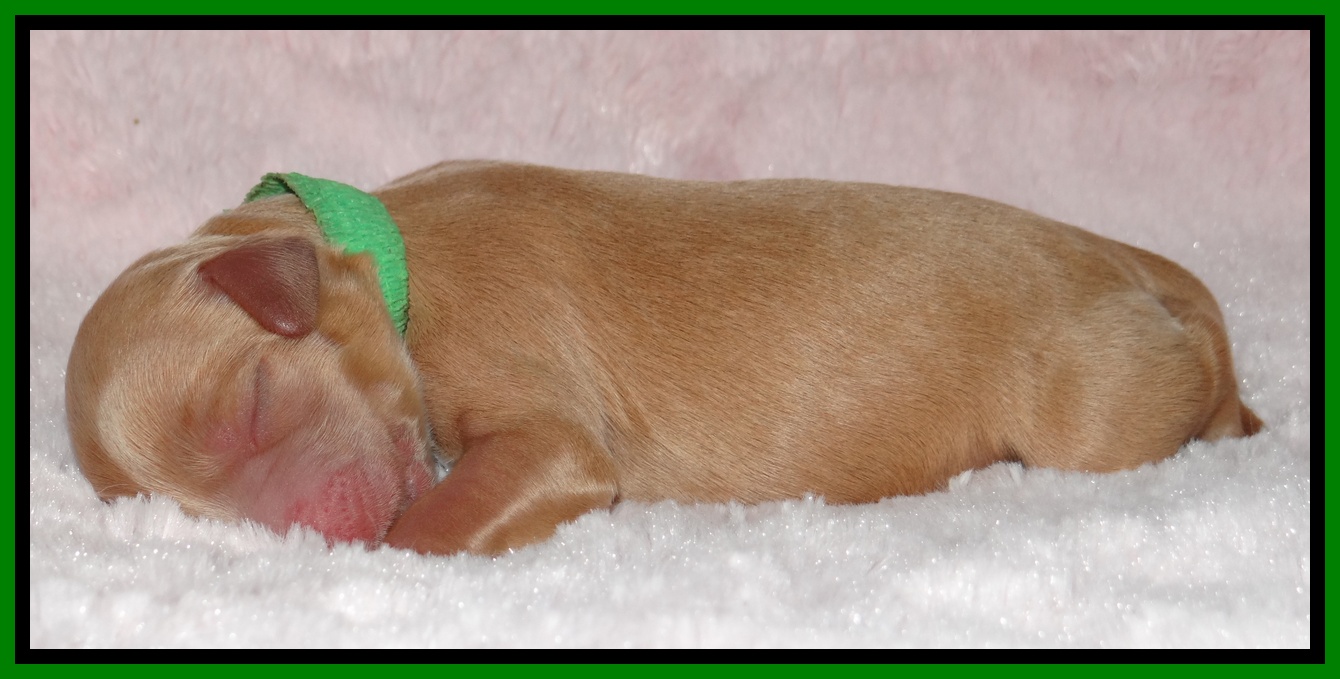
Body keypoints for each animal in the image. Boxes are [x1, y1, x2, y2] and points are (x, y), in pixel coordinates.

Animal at [65, 160, 1263, 556]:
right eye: (191, 507)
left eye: (257, 399)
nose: (321, 537)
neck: (400, 252)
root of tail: (1120, 257)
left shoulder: (547, 432)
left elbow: (428, 526)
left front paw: (392, 544)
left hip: (1093, 410)